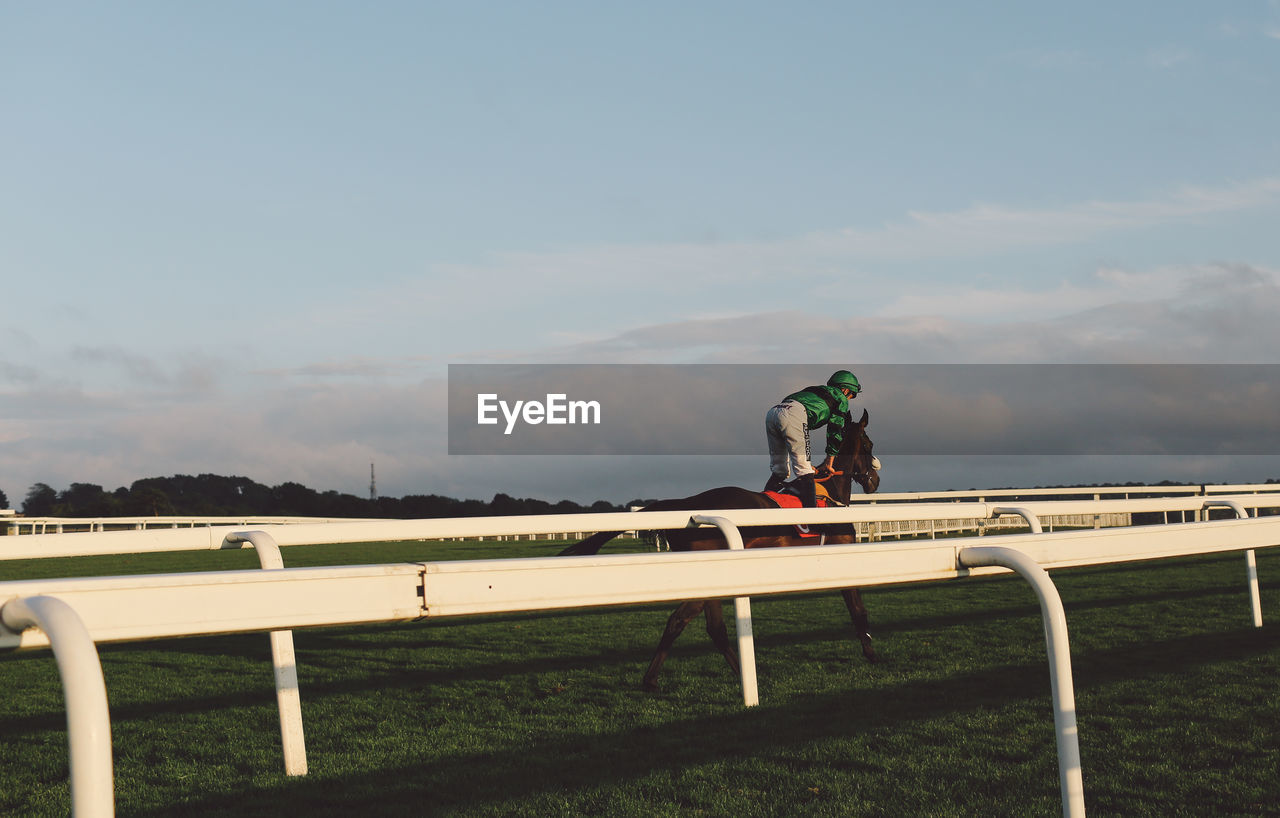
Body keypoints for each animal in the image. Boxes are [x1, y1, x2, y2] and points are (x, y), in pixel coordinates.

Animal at [560, 409, 880, 691]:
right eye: (869, 444)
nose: (875, 481)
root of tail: (685, 505)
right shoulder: (844, 559)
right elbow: (859, 610)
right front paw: (871, 653)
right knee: (684, 621)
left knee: (706, 627)